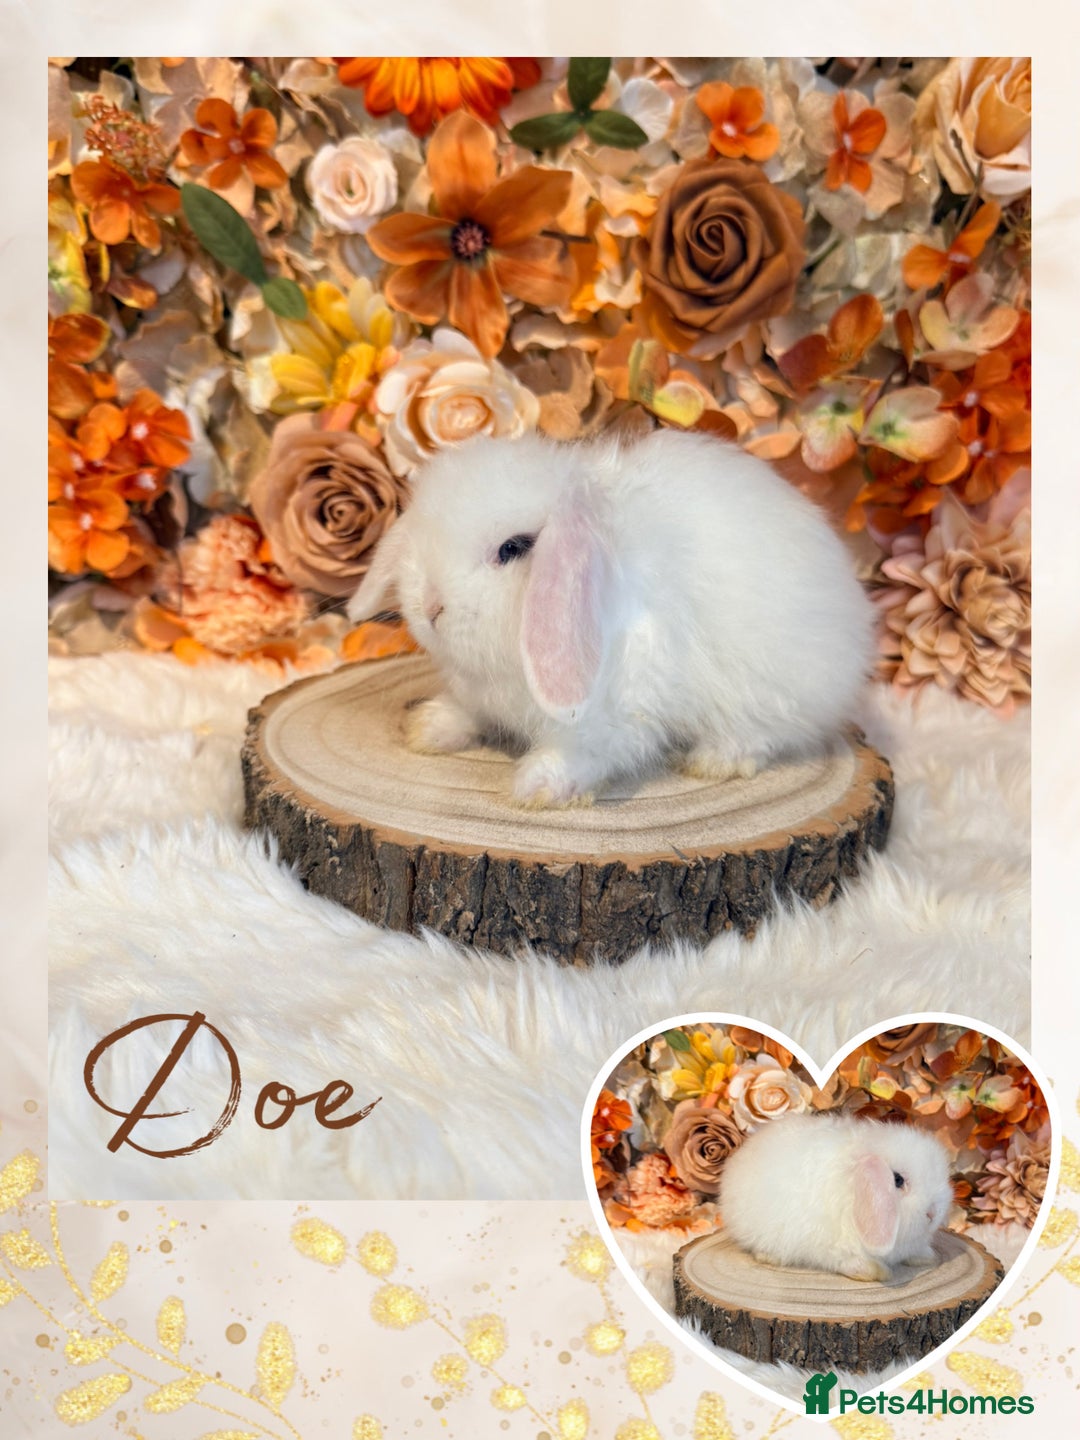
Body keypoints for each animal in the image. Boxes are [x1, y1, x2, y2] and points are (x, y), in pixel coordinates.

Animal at [347, 427, 875, 808]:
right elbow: (465, 712)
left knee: (767, 733)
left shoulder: (616, 715)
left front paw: (538, 787)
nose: (431, 606)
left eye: (514, 548)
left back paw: (718, 759)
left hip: (777, 691)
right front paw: (426, 728)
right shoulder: (476, 694)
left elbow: (585, 752)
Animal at [718, 1111, 954, 1282]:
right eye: (897, 1180)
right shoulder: (835, 1249)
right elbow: (849, 1262)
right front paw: (876, 1272)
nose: (933, 1213)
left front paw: (927, 1257)